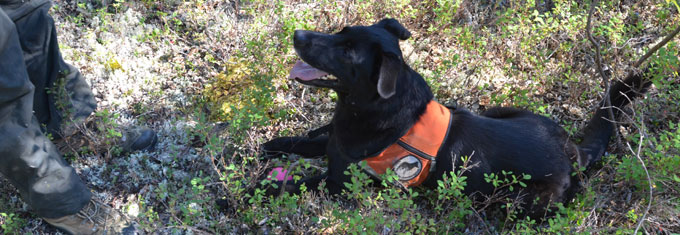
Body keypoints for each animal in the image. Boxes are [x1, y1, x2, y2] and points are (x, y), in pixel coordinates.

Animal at [262, 17, 652, 217]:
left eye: (346, 51)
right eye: (341, 32)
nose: (297, 33)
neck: (367, 108)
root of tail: (574, 151)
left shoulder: (340, 184)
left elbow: (290, 184)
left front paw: (257, 188)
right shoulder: (336, 144)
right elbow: (311, 140)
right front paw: (277, 143)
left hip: (525, 201)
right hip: (498, 110)